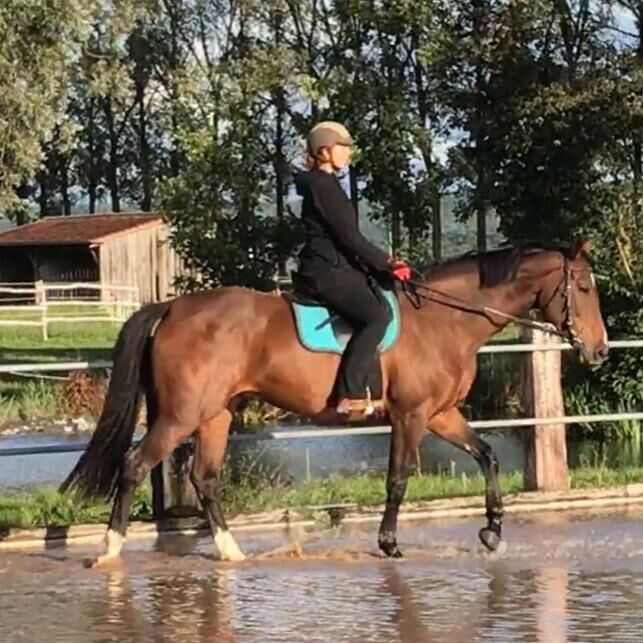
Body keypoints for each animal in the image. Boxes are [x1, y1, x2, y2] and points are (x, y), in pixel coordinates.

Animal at [60, 236, 608, 564]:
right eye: (583, 286)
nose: (600, 349)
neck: (444, 320)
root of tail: (171, 307)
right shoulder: (410, 416)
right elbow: (398, 479)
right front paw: (389, 543)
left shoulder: (440, 414)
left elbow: (488, 456)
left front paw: (492, 531)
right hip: (180, 415)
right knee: (134, 464)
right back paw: (110, 549)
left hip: (215, 414)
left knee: (204, 478)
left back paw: (231, 551)